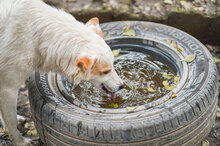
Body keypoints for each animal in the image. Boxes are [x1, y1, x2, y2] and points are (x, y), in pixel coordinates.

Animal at [0, 0, 124, 145]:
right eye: (106, 71)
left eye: (113, 65)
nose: (122, 86)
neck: (38, 36)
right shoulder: (7, 88)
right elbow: (11, 122)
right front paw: (20, 141)